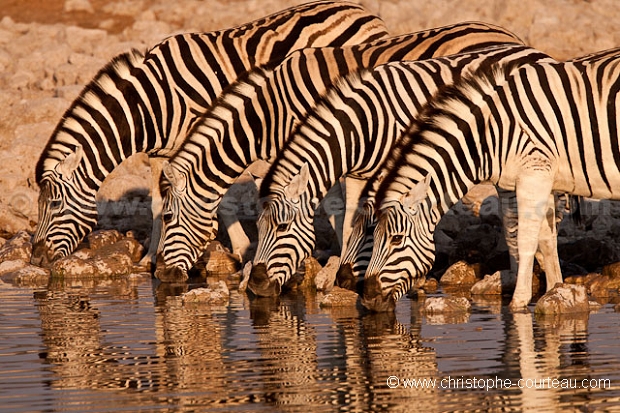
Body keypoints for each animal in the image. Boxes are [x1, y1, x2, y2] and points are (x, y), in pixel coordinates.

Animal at [30, 0, 388, 268]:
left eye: (55, 203)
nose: (36, 259)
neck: (153, 103)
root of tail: (360, 9)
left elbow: (217, 196)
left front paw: (240, 247)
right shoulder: (162, 155)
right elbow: (160, 204)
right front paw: (151, 258)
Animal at [247, 44, 552, 296]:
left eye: (282, 227)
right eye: (258, 228)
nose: (256, 286)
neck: (361, 125)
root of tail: (534, 51)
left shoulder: (390, 167)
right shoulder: (358, 174)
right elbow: (349, 222)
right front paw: (347, 273)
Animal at [364, 47, 620, 308]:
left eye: (396, 239)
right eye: (373, 236)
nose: (367, 297)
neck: (493, 133)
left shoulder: (534, 174)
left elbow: (526, 241)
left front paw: (518, 303)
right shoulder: (544, 179)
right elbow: (546, 241)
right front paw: (555, 290)